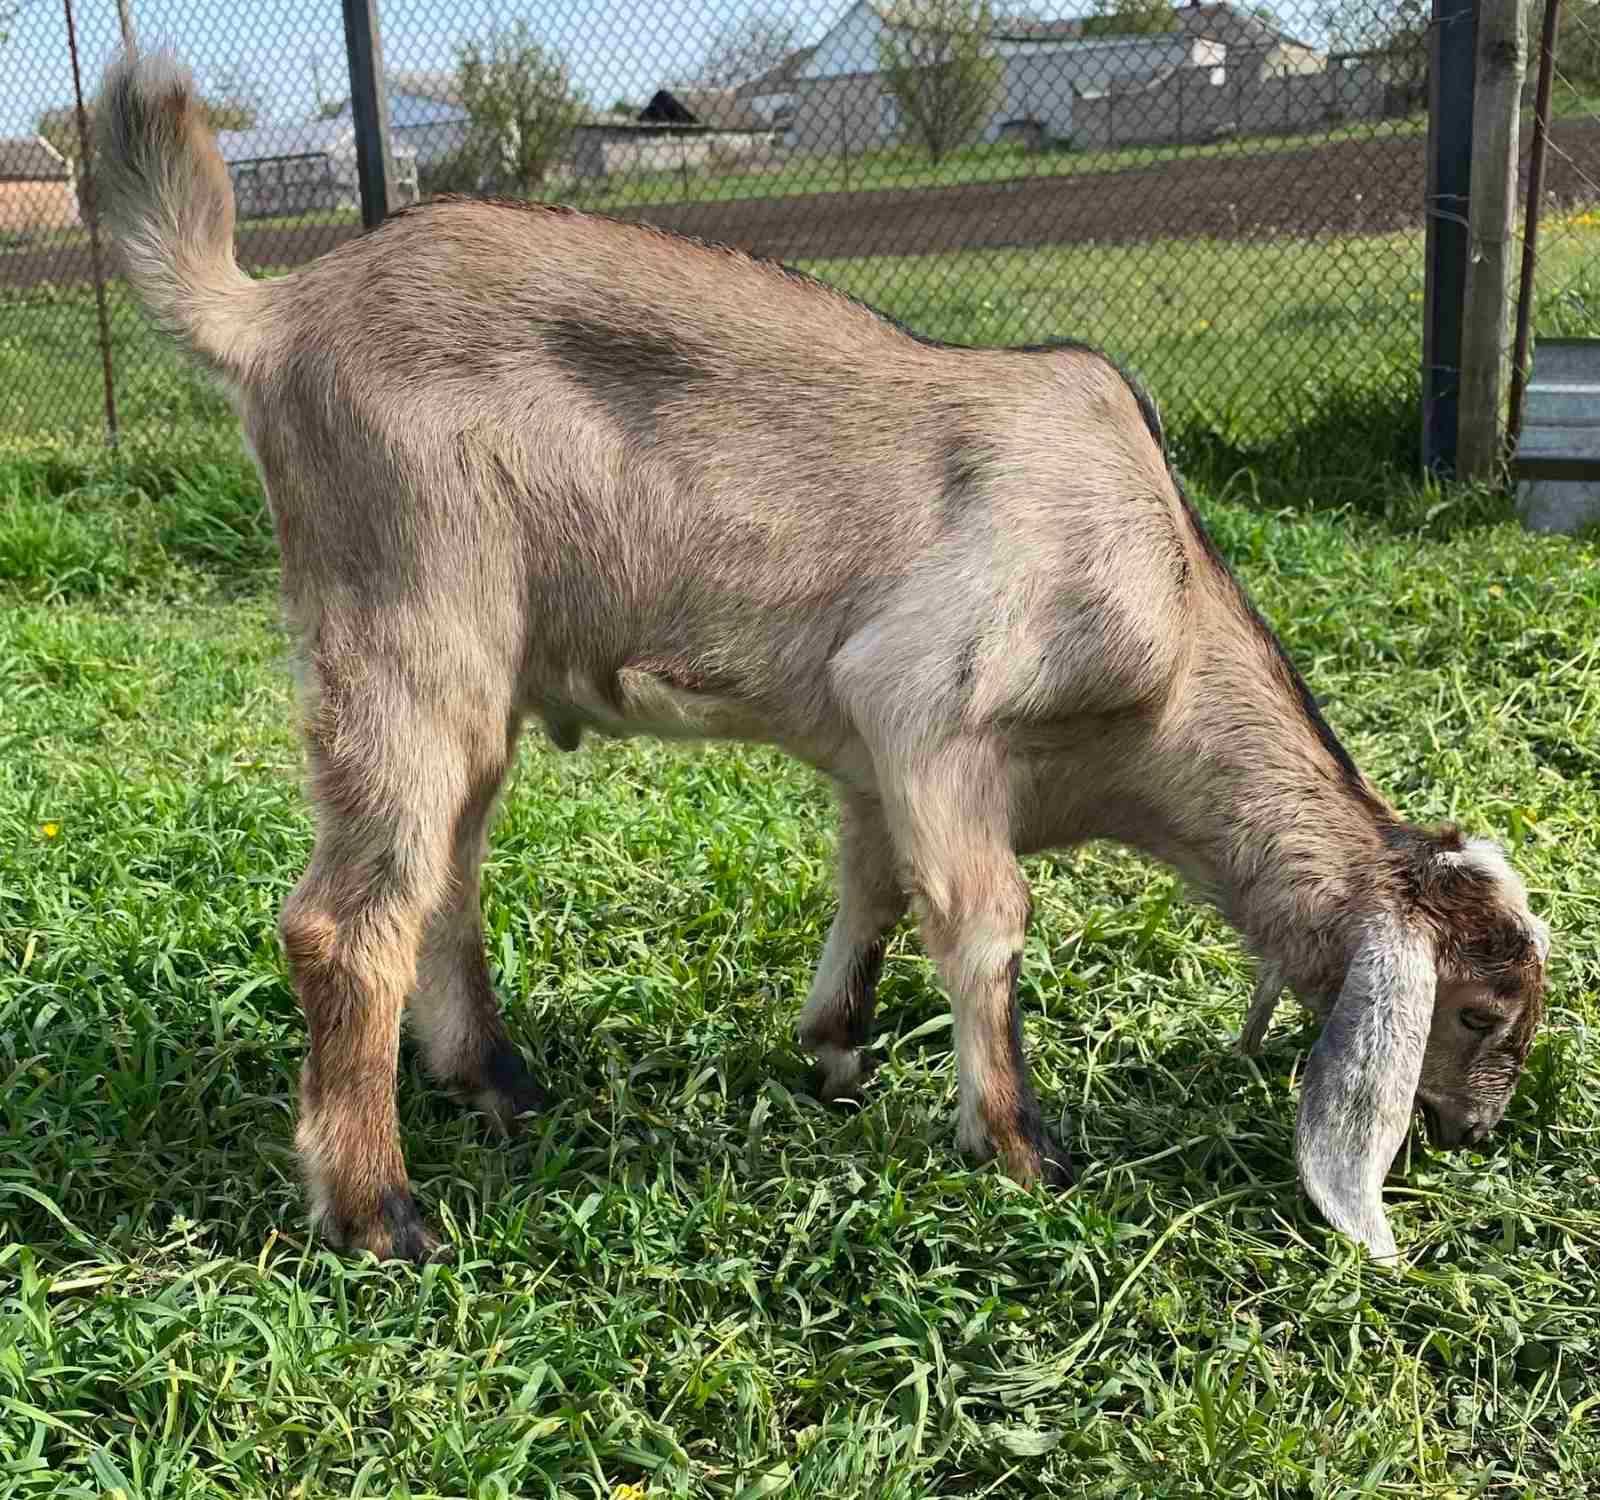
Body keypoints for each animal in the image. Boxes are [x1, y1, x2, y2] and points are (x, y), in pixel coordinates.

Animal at [100, 49, 1548, 1260]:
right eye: (1478, 1012)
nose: (1476, 1132)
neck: (1171, 625)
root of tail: (274, 315)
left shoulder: (876, 759)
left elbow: (879, 893)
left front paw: (837, 1052)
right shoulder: (929, 703)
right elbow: (987, 922)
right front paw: (1020, 1146)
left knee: (441, 874)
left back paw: (500, 1083)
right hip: (408, 612)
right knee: (348, 919)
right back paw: (378, 1210)